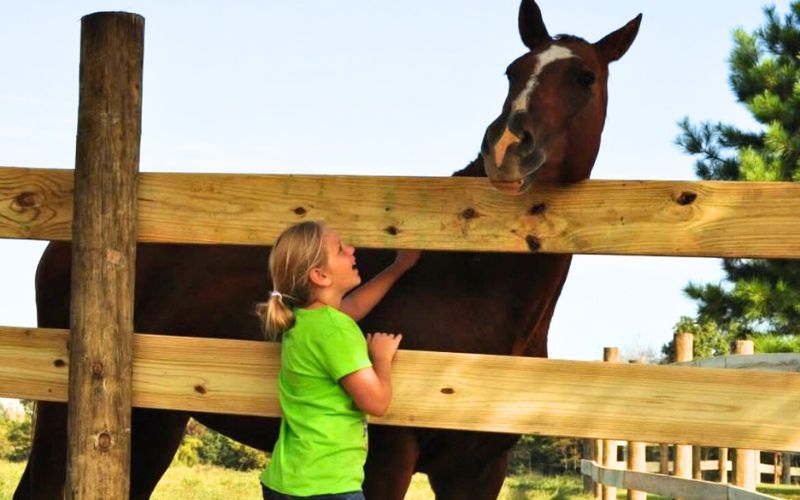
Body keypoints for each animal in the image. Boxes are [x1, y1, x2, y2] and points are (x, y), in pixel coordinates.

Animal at [14, 1, 640, 498]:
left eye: (585, 77)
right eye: (513, 72)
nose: (508, 145)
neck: (471, 285)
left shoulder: (477, 471)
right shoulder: (386, 459)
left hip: (152, 424)